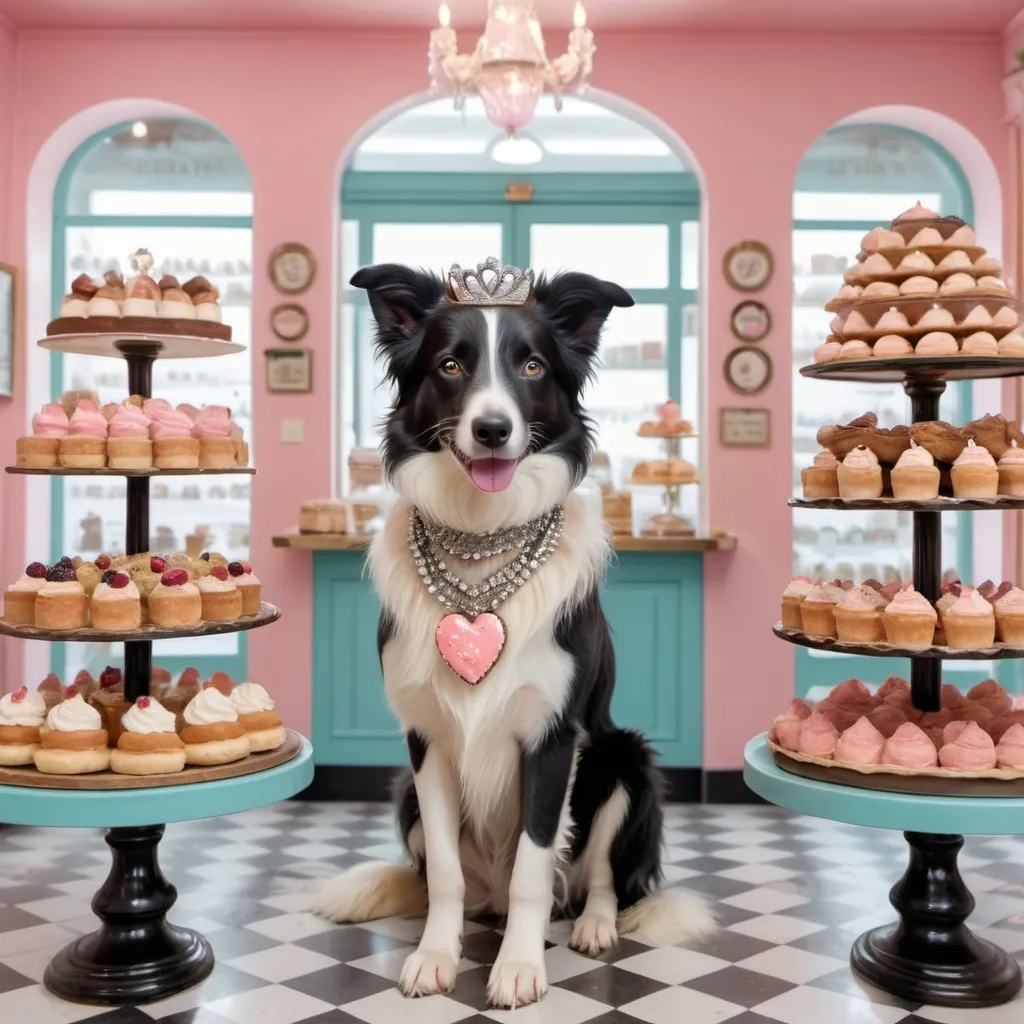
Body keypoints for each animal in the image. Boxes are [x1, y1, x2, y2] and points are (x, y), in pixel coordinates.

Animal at [311, 260, 712, 1003]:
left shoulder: (552, 736)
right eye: (449, 365)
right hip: (405, 793)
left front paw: (521, 967)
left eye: (531, 366)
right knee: (450, 882)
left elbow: (534, 864)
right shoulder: (426, 742)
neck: (480, 539)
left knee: (597, 879)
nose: (493, 429)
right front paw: (435, 957)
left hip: (624, 760)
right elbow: (443, 873)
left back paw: (593, 927)